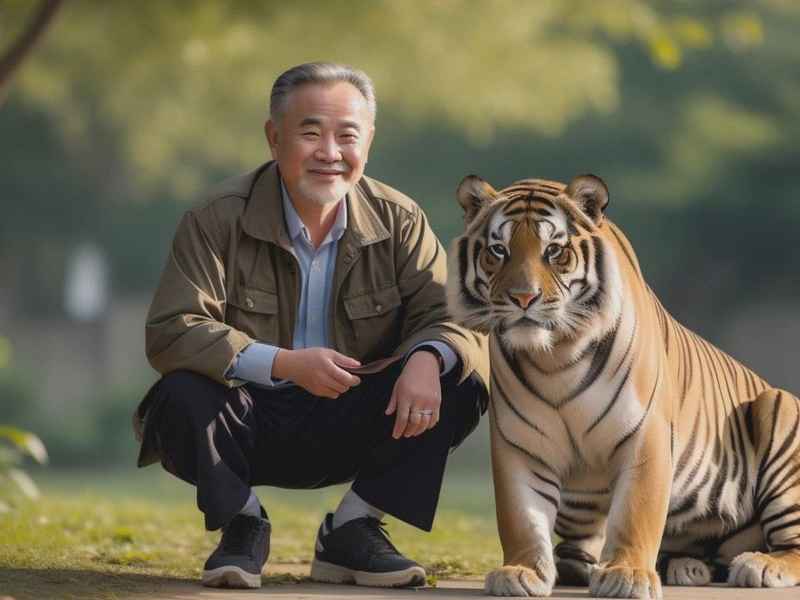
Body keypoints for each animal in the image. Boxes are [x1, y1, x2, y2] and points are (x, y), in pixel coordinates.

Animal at [446, 173, 800, 598]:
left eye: (554, 250)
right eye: (498, 250)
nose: (523, 298)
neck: (555, 358)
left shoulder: (644, 435)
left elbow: (636, 511)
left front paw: (627, 575)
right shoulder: (520, 443)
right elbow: (521, 515)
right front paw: (521, 571)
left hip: (779, 409)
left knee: (792, 543)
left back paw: (760, 565)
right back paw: (684, 567)